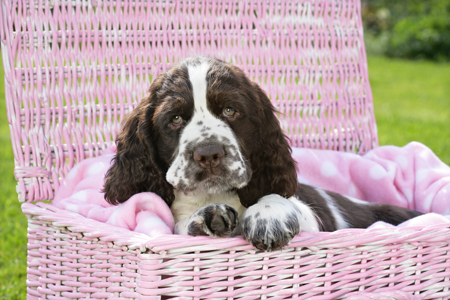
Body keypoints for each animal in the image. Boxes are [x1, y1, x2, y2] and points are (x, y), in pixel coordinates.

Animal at [103, 56, 422, 251]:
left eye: (230, 111)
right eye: (175, 119)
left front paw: (268, 216)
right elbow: (179, 225)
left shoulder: (313, 220)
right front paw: (204, 219)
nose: (208, 153)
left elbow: (283, 199)